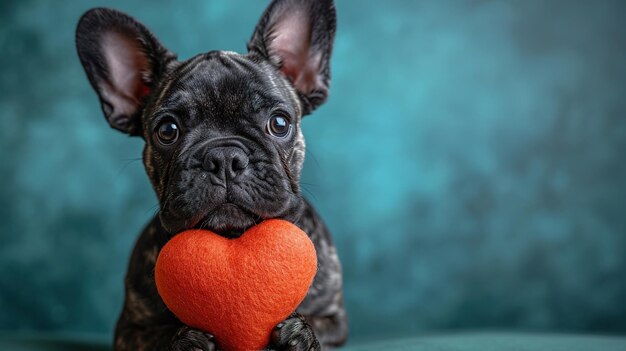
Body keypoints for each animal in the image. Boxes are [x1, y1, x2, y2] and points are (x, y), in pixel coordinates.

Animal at [74, 0, 346, 351]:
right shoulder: (131, 329)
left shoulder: (334, 319)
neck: (231, 237)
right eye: (167, 130)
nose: (223, 157)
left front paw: (298, 335)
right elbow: (157, 336)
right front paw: (189, 340)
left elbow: (320, 327)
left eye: (280, 123)